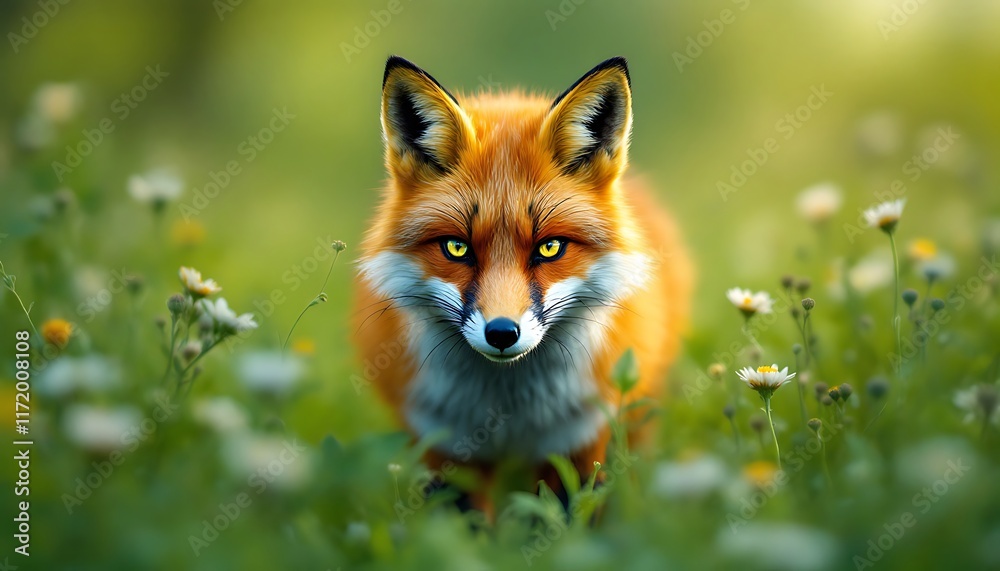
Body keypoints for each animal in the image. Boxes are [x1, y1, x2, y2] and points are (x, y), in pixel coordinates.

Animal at [354, 55, 691, 515]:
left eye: (549, 247)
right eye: (457, 248)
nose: (501, 333)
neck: (508, 411)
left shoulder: (578, 441)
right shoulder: (444, 442)